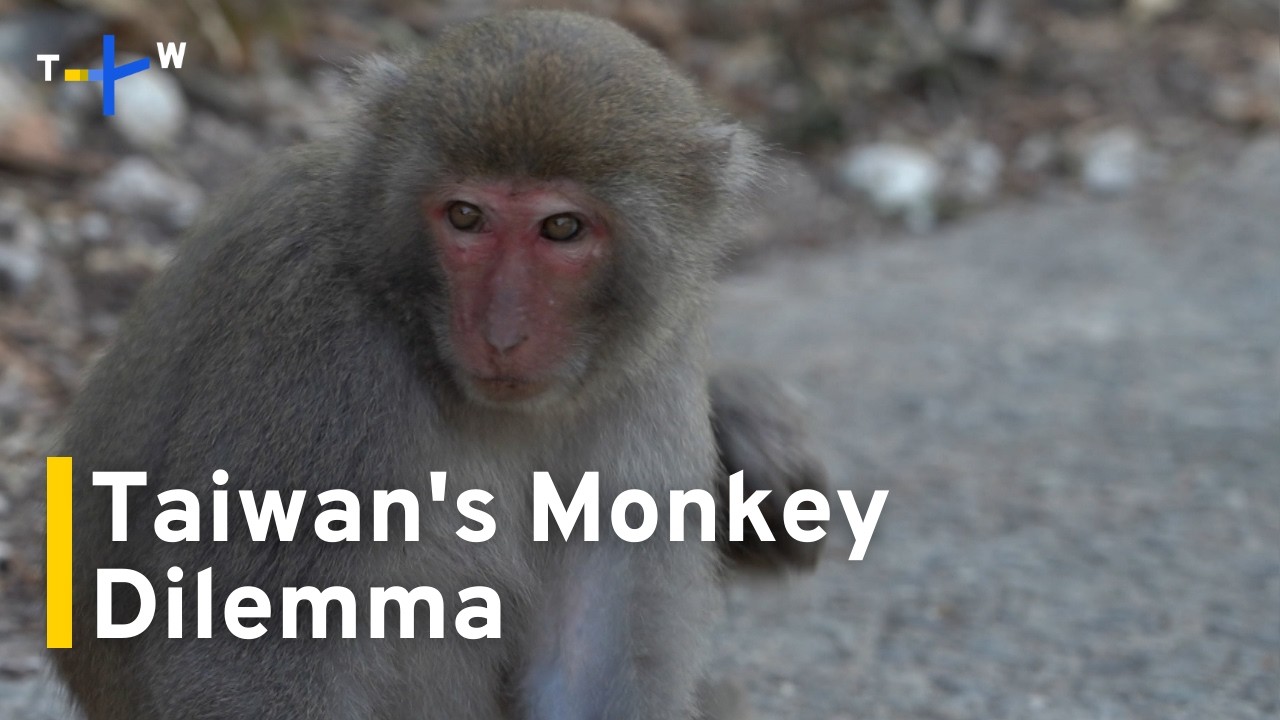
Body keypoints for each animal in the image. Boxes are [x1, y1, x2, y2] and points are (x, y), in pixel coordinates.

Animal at [53, 11, 818, 720]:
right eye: (465, 216)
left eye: (562, 228)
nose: (502, 335)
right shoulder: (316, 350)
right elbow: (242, 657)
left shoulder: (652, 363)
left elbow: (587, 664)